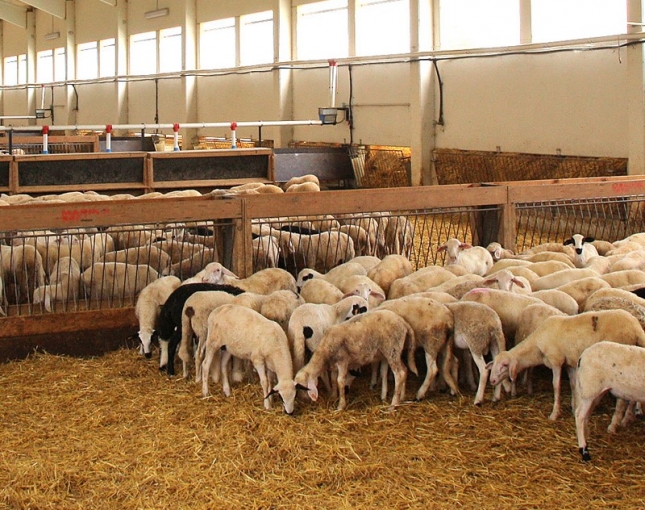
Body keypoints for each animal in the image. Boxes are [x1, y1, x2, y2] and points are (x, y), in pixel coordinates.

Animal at [486, 308, 644, 420]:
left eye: (504, 365)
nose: (492, 380)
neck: (537, 346)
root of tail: (636, 326)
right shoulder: (569, 364)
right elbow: (573, 384)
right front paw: (574, 408)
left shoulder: (556, 361)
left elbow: (556, 386)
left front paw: (554, 414)